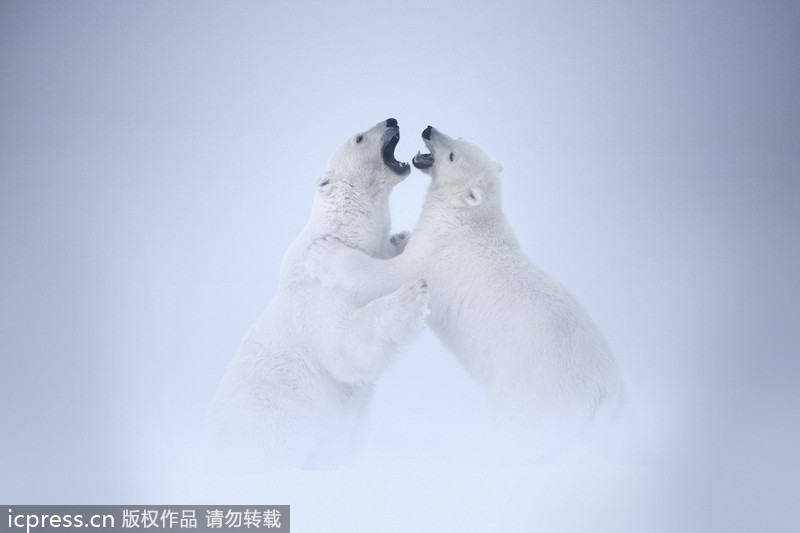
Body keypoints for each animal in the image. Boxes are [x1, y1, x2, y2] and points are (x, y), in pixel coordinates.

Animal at [208, 118, 432, 468]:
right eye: (359, 138)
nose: (391, 120)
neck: (342, 233)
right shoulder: (318, 296)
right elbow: (345, 345)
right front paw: (413, 293)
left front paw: (401, 240)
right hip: (274, 434)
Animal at [310, 125, 636, 462]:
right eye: (459, 137)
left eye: (453, 155)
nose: (428, 130)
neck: (468, 218)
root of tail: (603, 388)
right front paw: (400, 236)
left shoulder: (440, 254)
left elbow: (390, 276)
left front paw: (326, 253)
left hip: (536, 392)